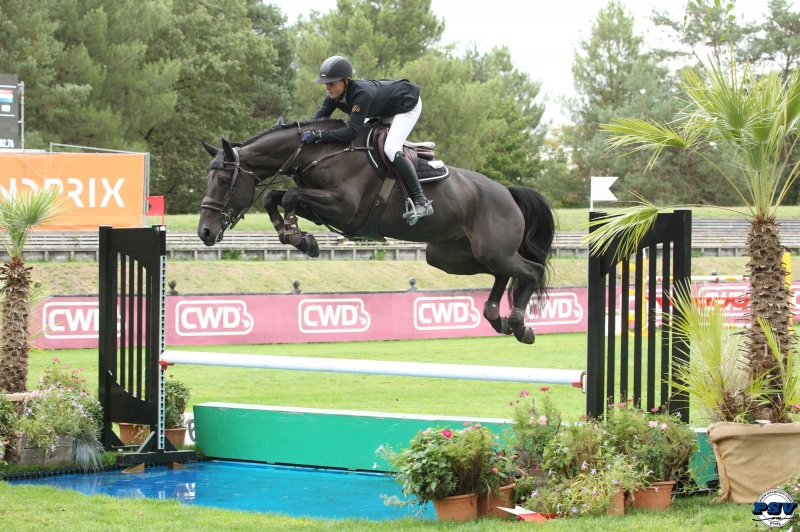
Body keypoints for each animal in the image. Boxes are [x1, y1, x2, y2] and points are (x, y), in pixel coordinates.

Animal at [197, 118, 555, 344]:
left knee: (531, 270)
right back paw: (497, 318)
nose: (205, 232)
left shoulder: (345, 208)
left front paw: (297, 235)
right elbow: (276, 196)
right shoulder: (329, 209)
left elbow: (290, 195)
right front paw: (297, 237)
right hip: (450, 257)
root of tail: (507, 191)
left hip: (491, 250)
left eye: (225, 180)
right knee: (501, 272)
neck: (318, 152)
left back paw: (520, 324)